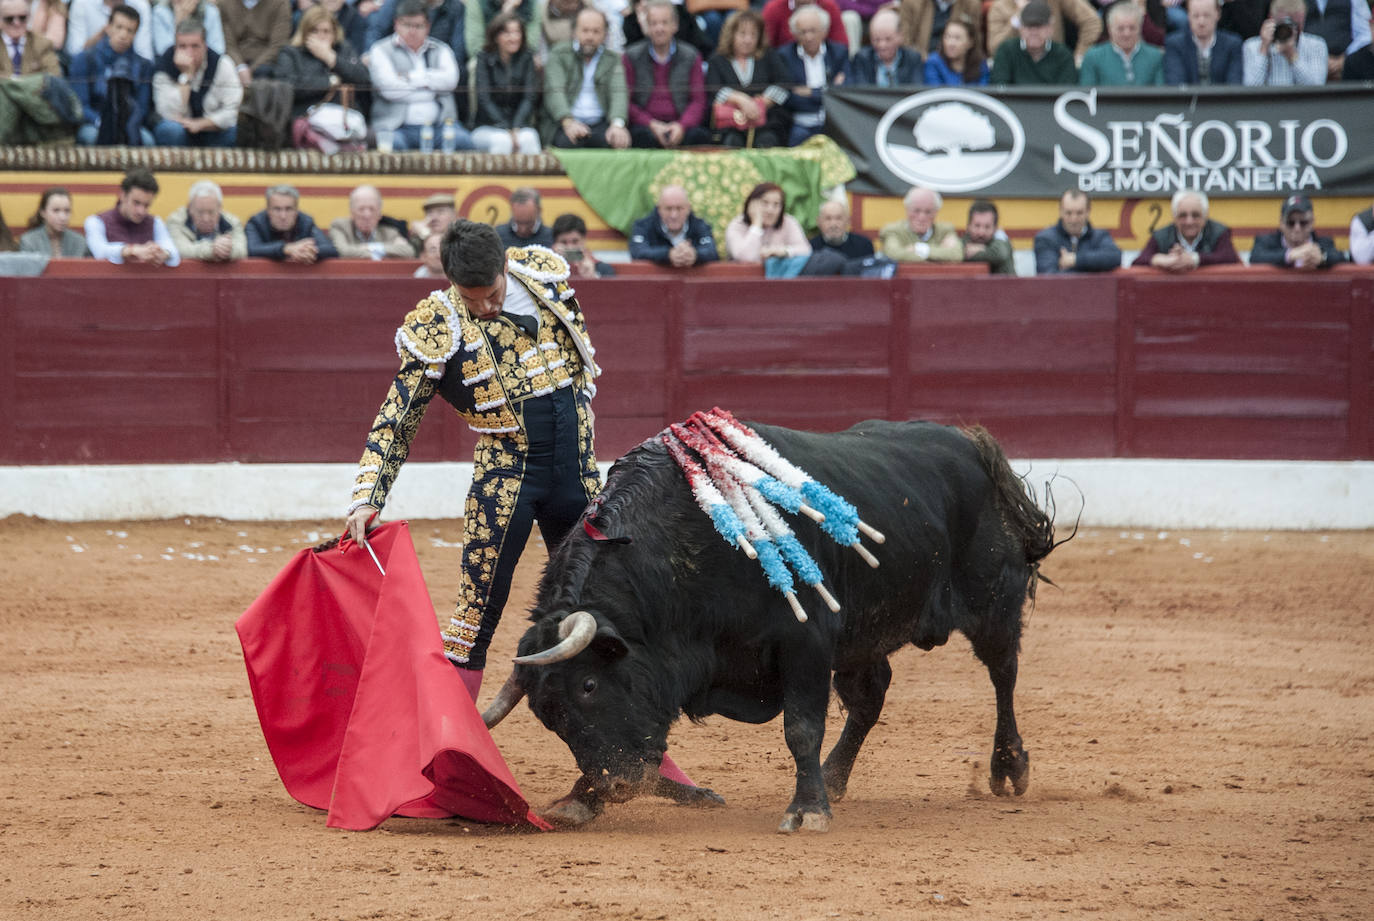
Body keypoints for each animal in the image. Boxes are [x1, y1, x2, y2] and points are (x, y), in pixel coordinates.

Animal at [489, 423, 1055, 835]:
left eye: (588, 685)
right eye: (546, 715)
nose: (615, 787)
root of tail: (973, 446)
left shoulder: (807, 644)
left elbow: (801, 727)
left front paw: (807, 811)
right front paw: (576, 800)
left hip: (992, 602)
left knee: (1004, 674)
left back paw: (1009, 767)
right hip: (862, 638)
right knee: (871, 697)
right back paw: (835, 777)